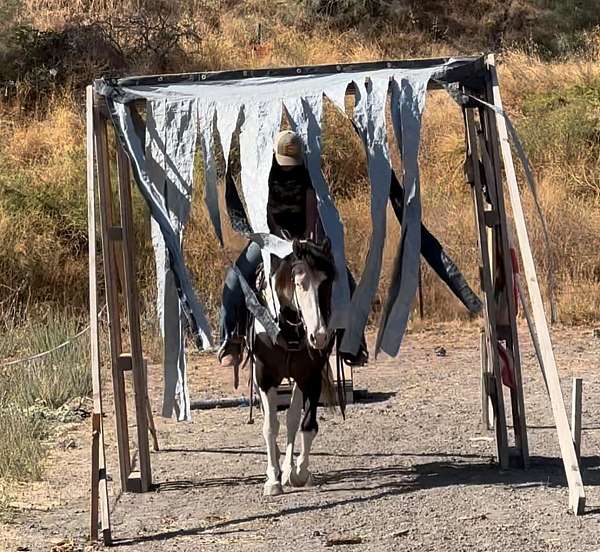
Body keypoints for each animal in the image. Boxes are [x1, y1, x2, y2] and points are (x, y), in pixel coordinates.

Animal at [248, 237, 338, 496]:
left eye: (327, 282)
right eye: (299, 283)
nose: (319, 336)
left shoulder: (311, 376)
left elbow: (306, 425)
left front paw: (298, 472)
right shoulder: (264, 377)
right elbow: (270, 426)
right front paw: (272, 480)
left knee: (291, 418)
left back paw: (288, 469)